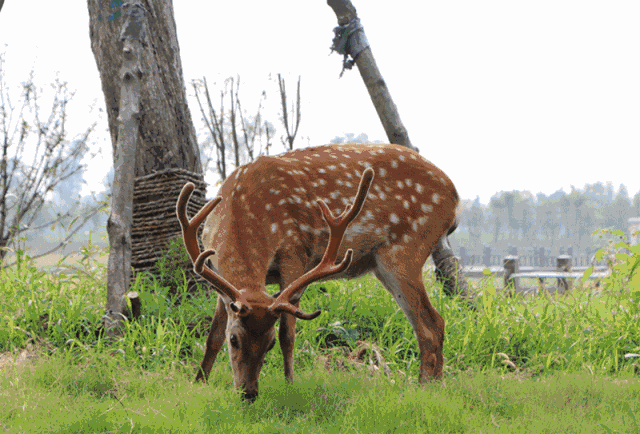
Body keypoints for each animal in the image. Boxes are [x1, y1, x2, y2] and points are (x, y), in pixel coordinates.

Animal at [176, 143, 460, 401]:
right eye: (233, 339)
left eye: (268, 343)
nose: (248, 393)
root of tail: (455, 198)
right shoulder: (219, 277)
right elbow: (212, 336)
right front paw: (198, 381)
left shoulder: (295, 252)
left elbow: (288, 333)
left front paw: (290, 383)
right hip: (383, 263)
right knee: (431, 323)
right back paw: (431, 384)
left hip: (406, 248)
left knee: (431, 323)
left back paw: (427, 387)